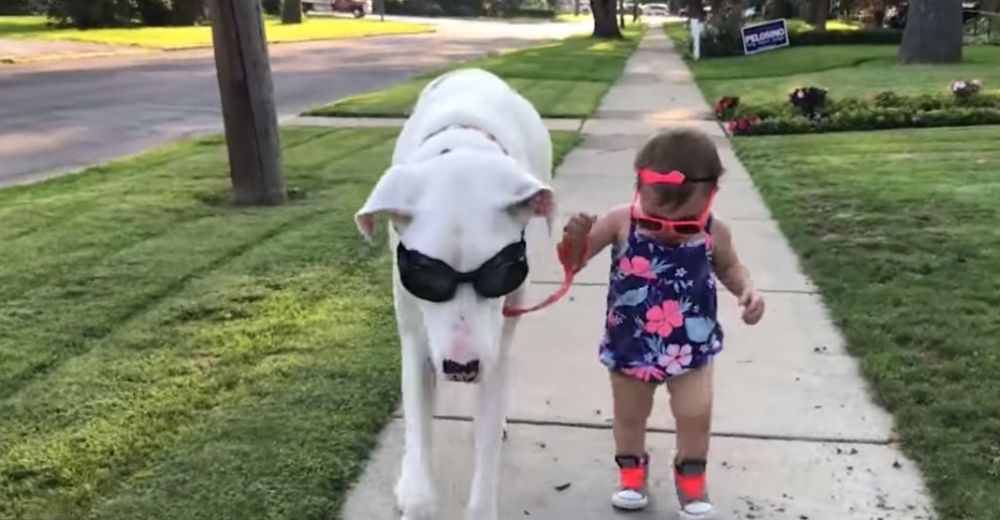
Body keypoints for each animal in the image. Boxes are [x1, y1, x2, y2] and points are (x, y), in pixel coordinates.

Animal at [354, 70, 560, 520]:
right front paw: (415, 493)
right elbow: (418, 426)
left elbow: (486, 434)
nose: (461, 367)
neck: (462, 151)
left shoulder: (496, 342)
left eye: (501, 271)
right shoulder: (416, 341)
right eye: (425, 275)